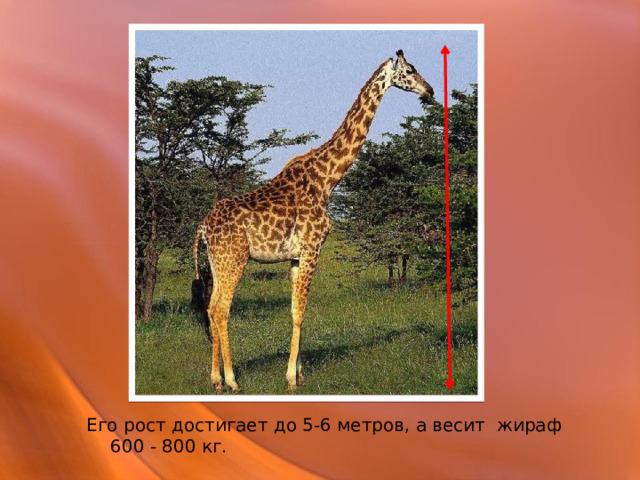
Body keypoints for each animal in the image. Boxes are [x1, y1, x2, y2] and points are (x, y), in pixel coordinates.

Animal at [193, 50, 434, 391]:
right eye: (411, 70)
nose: (430, 91)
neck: (327, 179)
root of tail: (202, 227)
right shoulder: (313, 248)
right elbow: (301, 311)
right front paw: (291, 378)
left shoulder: (296, 256)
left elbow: (295, 310)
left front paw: (300, 372)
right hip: (234, 258)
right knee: (220, 309)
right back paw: (232, 380)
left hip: (217, 261)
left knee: (211, 308)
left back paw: (215, 380)